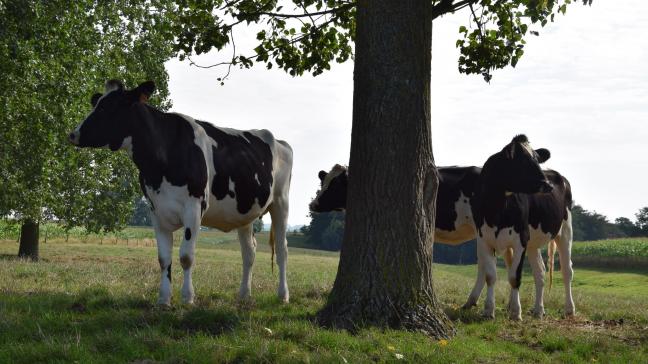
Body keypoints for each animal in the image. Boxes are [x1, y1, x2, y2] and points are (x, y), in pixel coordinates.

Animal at [69, 79, 292, 304]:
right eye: (97, 103)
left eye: (110, 106)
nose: (73, 134)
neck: (161, 161)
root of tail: (279, 141)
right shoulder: (156, 210)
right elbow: (163, 258)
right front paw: (164, 299)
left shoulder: (194, 207)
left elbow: (186, 256)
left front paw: (187, 297)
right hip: (244, 212)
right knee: (249, 252)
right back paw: (244, 295)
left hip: (280, 202)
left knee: (282, 250)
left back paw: (283, 295)